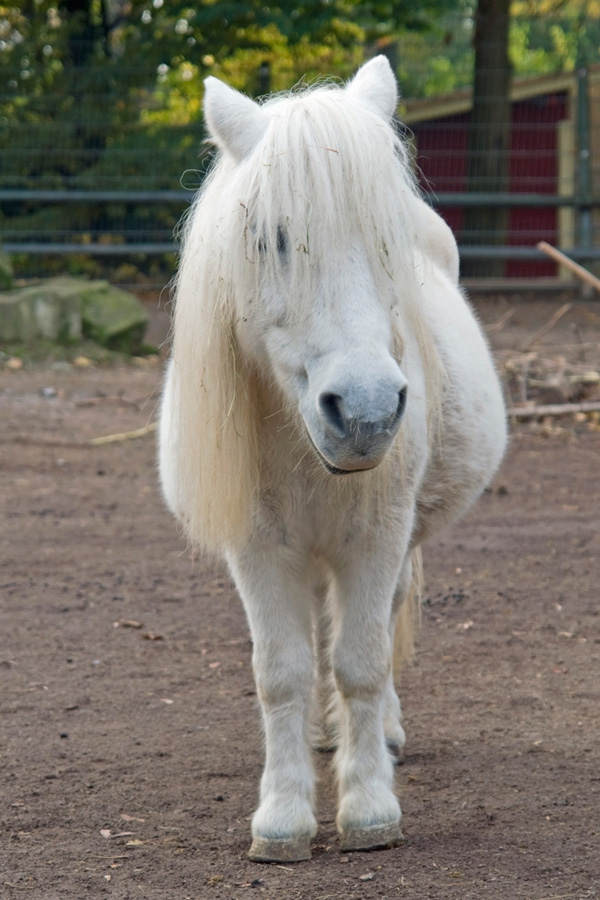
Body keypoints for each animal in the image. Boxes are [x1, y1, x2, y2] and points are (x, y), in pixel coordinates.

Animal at [158, 55, 507, 862]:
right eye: (271, 239)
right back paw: (325, 736)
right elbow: (282, 673)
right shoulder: (258, 548)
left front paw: (370, 807)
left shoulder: (376, 538)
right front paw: (284, 817)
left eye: (387, 241)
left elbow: (362, 662)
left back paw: (380, 735)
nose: (368, 410)